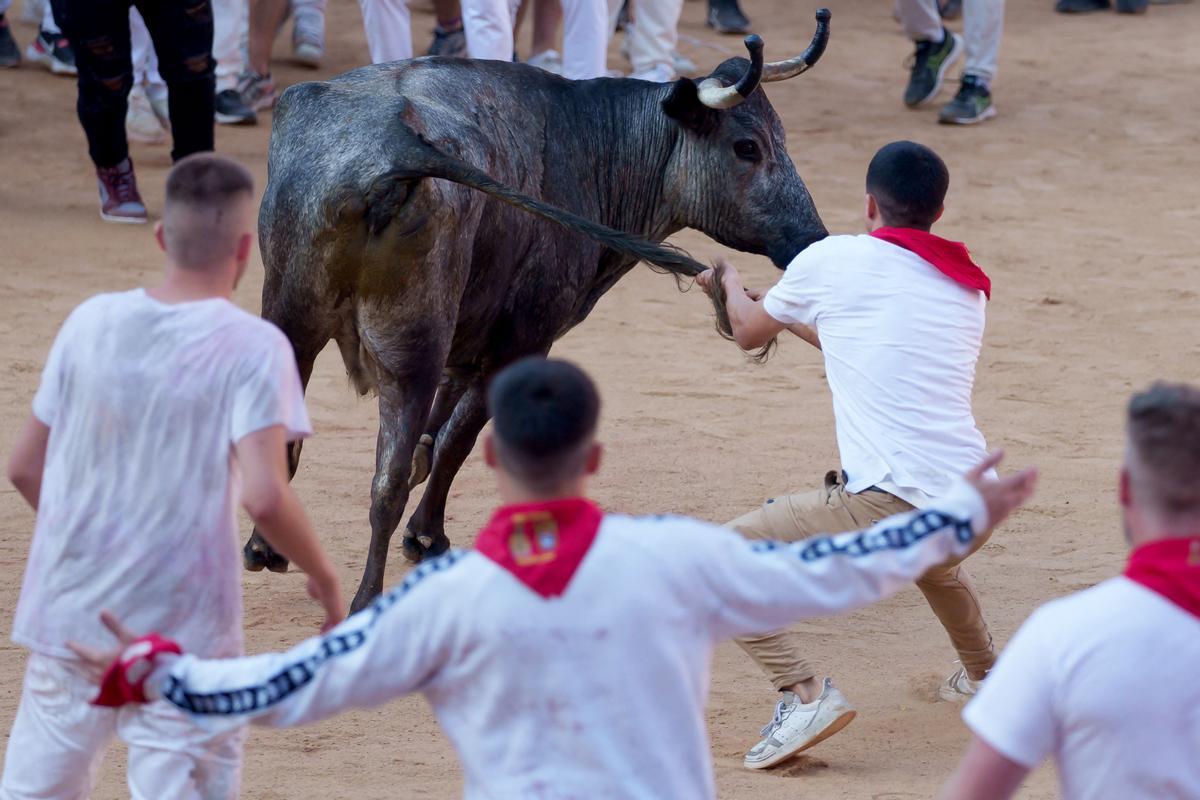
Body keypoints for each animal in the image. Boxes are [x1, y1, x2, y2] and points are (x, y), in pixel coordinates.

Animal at [247, 10, 830, 606]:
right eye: (747, 147)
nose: (813, 238)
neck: (595, 145)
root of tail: (397, 147)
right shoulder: (522, 340)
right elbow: (455, 440)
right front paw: (427, 536)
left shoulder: (469, 340)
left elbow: (436, 437)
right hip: (412, 350)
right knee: (386, 479)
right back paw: (366, 598)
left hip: (293, 317)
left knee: (289, 437)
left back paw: (264, 548)